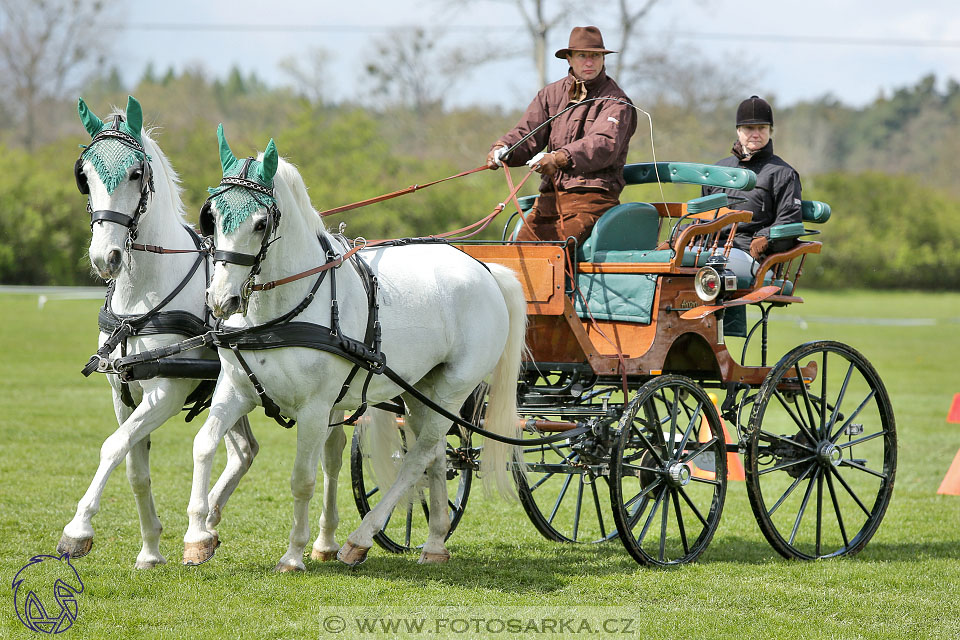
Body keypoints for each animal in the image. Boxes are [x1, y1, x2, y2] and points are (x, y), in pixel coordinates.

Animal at [61, 97, 262, 568]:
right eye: (85, 175)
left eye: (136, 173)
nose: (106, 257)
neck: (140, 302)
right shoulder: (123, 391)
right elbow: (135, 467)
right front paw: (151, 549)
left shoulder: (167, 391)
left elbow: (111, 446)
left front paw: (78, 529)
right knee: (244, 450)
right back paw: (209, 522)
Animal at [180, 130, 524, 568]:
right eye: (212, 216)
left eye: (261, 223)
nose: (221, 299)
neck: (277, 314)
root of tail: (485, 270)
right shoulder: (235, 390)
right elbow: (203, 446)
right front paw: (198, 536)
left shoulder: (314, 408)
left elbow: (303, 478)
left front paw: (293, 555)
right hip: (422, 392)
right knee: (434, 454)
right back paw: (433, 543)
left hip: (453, 388)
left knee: (417, 458)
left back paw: (360, 539)